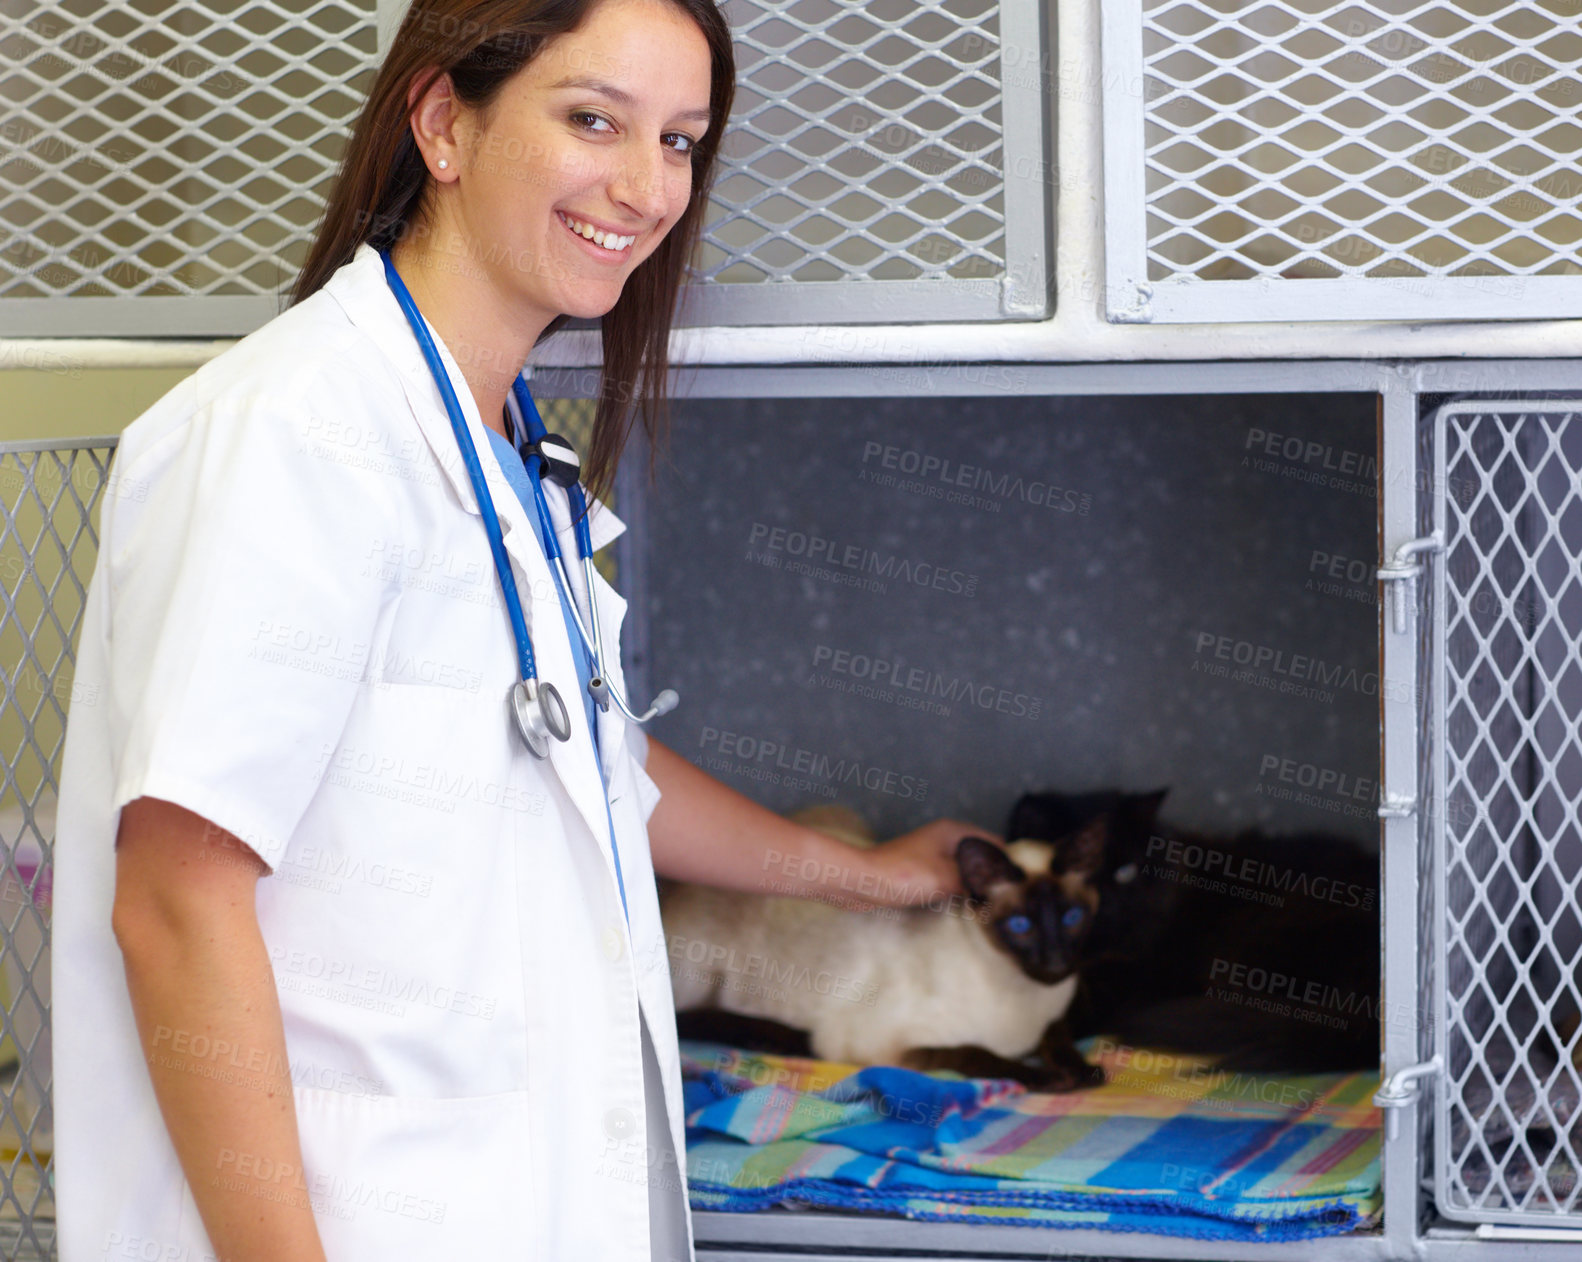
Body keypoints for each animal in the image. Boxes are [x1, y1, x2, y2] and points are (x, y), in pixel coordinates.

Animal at [661, 809, 1107, 1094]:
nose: (1057, 963)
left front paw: (1083, 1071)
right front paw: (1048, 1079)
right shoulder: (885, 1046)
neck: (1024, 999)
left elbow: (1058, 1037)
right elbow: (973, 1052)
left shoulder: (1051, 1019)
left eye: (1072, 917)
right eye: (1020, 926)